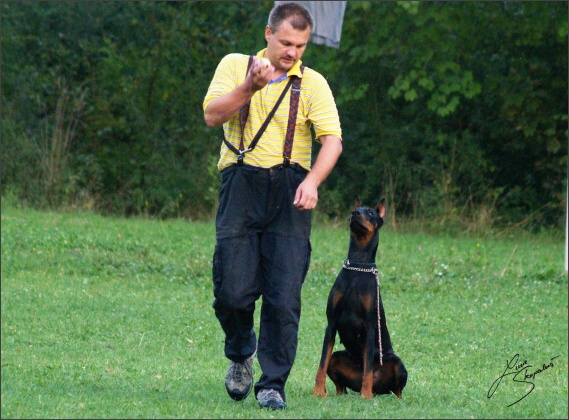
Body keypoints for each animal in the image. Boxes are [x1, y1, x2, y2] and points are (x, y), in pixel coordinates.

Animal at [312, 199, 406, 398]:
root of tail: (380, 390)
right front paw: (318, 392)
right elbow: (322, 363)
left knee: (397, 389)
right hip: (338, 358)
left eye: (370, 212)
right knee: (340, 384)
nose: (355, 214)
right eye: (354, 210)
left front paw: (366, 396)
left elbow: (368, 368)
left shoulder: (370, 327)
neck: (358, 265)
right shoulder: (331, 324)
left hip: (397, 362)